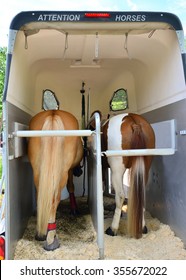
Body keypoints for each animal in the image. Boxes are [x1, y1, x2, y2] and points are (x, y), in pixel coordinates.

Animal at [27, 109, 83, 249]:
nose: (79, 172)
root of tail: (53, 113)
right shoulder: (69, 170)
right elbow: (71, 187)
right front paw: (74, 208)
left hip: (38, 170)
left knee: (42, 195)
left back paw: (40, 232)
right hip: (61, 172)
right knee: (54, 199)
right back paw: (51, 238)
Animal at [97, 112, 154, 240]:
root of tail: (133, 122)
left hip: (117, 171)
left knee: (120, 196)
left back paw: (112, 229)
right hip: (145, 169)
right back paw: (142, 227)